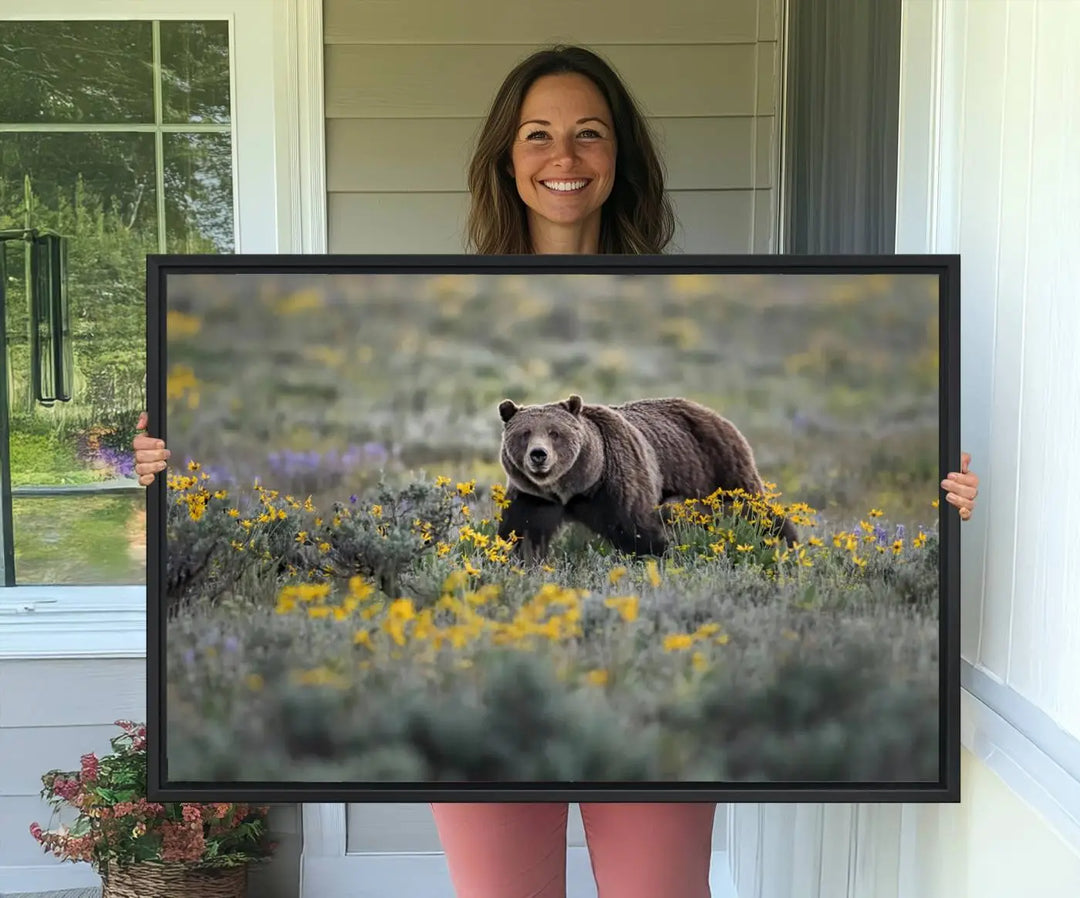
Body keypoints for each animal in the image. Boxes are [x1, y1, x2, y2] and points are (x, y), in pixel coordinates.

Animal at [494, 395, 794, 561]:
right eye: (525, 433)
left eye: (555, 432)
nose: (539, 455)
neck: (574, 488)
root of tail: (713, 413)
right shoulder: (533, 498)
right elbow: (520, 533)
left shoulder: (617, 487)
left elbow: (638, 530)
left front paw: (657, 555)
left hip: (719, 468)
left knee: (758, 511)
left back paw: (785, 541)